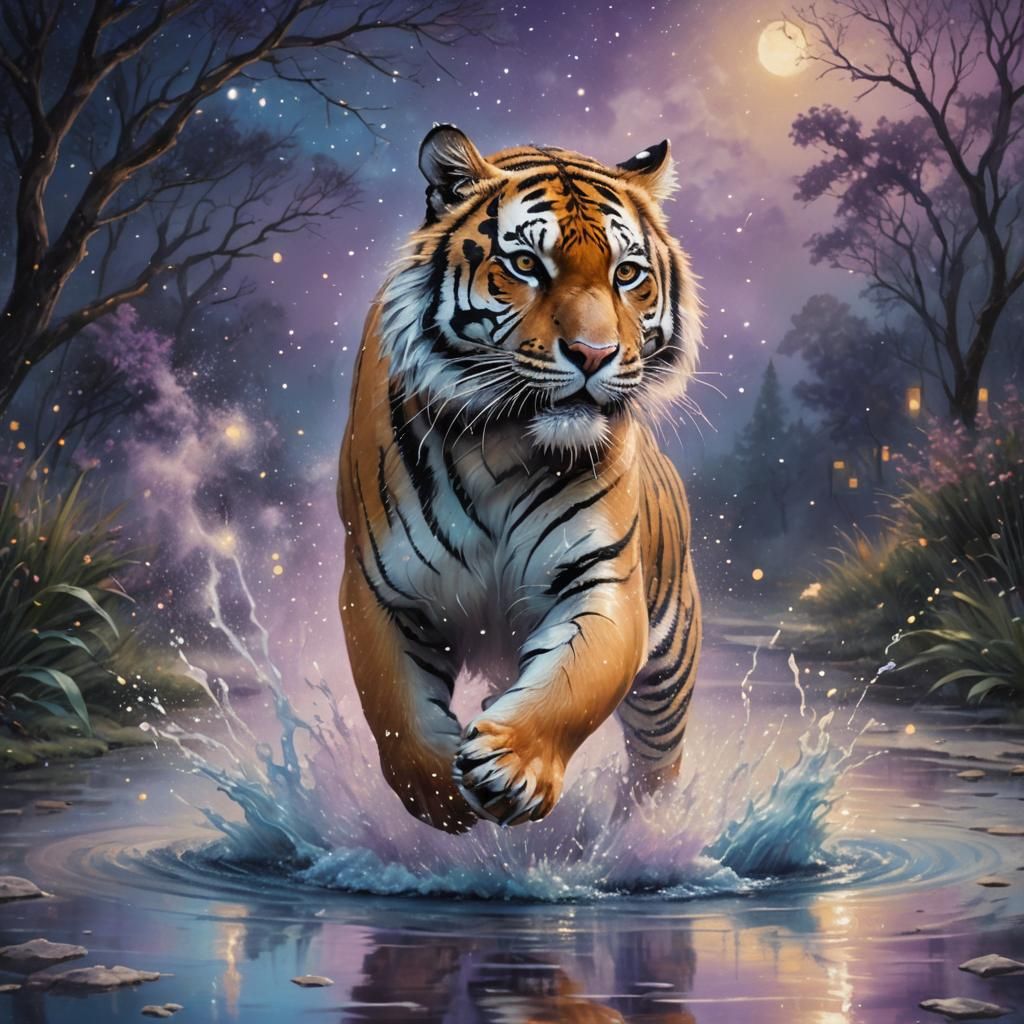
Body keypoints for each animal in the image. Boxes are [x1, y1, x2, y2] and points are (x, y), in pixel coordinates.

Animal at [338, 125, 702, 833]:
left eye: (627, 274)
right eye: (528, 265)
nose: (594, 354)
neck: (500, 443)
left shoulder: (603, 577)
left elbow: (576, 681)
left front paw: (513, 768)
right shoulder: (378, 586)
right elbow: (393, 706)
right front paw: (439, 792)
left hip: (667, 677)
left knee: (657, 770)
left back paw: (645, 837)